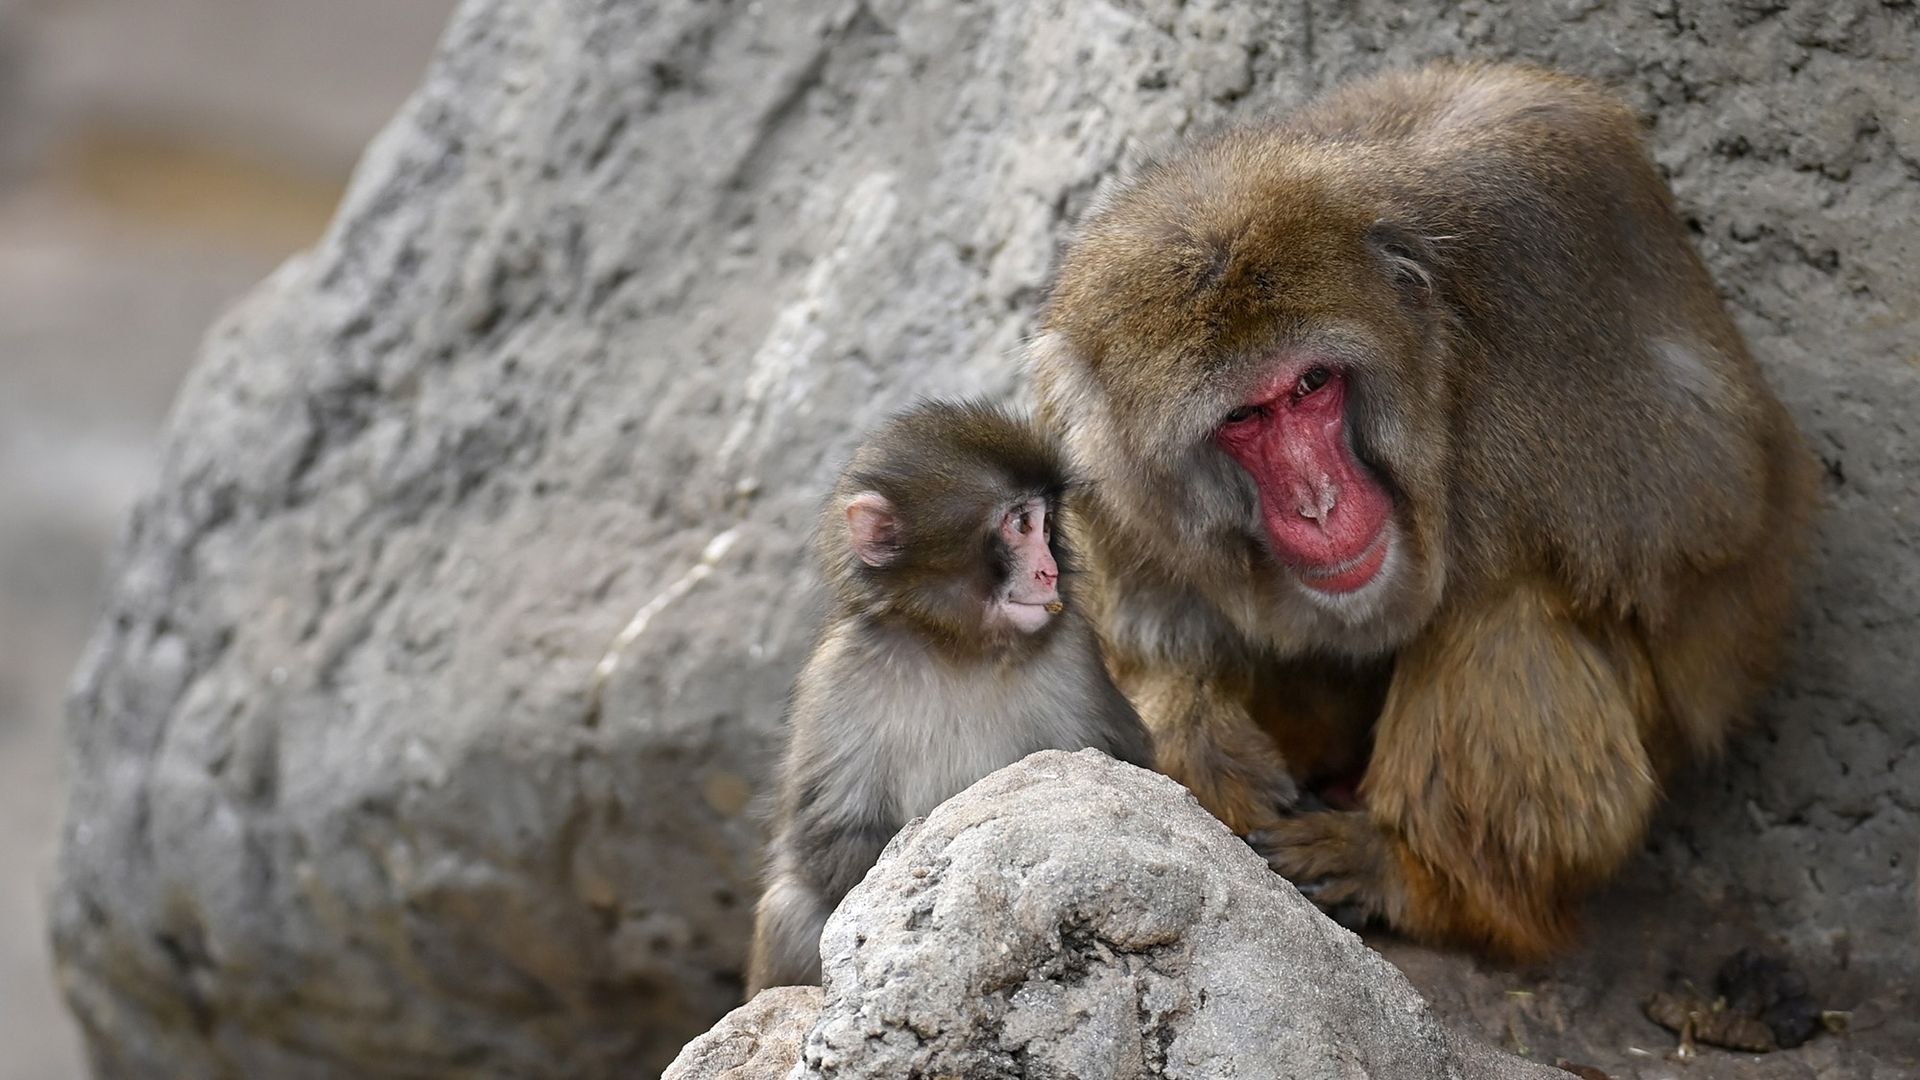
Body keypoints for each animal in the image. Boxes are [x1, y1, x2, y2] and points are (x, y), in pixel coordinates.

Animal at [745, 400, 1154, 994]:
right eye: (1020, 523)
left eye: (1046, 523)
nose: (1049, 571)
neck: (958, 648)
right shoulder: (839, 675)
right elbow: (829, 837)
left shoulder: (1073, 651)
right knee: (790, 908)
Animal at [1027, 62, 1816, 960]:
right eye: (1244, 418)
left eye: (1311, 385)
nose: (1319, 501)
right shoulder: (1088, 446)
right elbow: (1145, 636)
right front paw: (1197, 735)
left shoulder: (1540, 260)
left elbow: (1701, 503)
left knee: (1503, 611)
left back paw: (1418, 878)